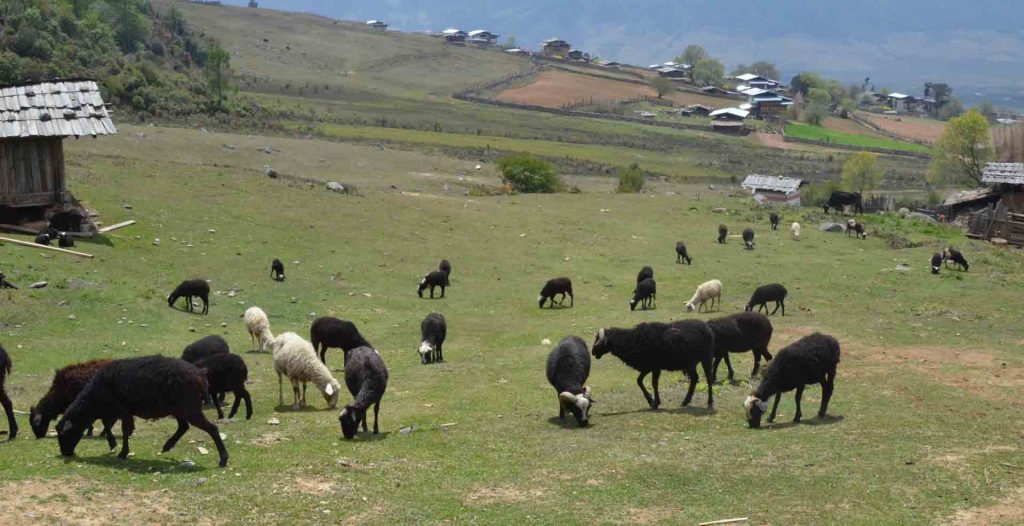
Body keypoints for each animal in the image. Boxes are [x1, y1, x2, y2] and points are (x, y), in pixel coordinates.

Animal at [56, 354, 230, 464]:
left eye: (64, 434)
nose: (66, 453)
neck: (94, 398)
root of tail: (200, 375)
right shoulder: (118, 411)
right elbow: (109, 425)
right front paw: (114, 445)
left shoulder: (122, 409)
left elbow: (123, 430)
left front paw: (121, 451)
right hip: (179, 408)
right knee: (183, 427)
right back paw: (167, 446)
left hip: (189, 407)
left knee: (211, 428)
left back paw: (223, 458)